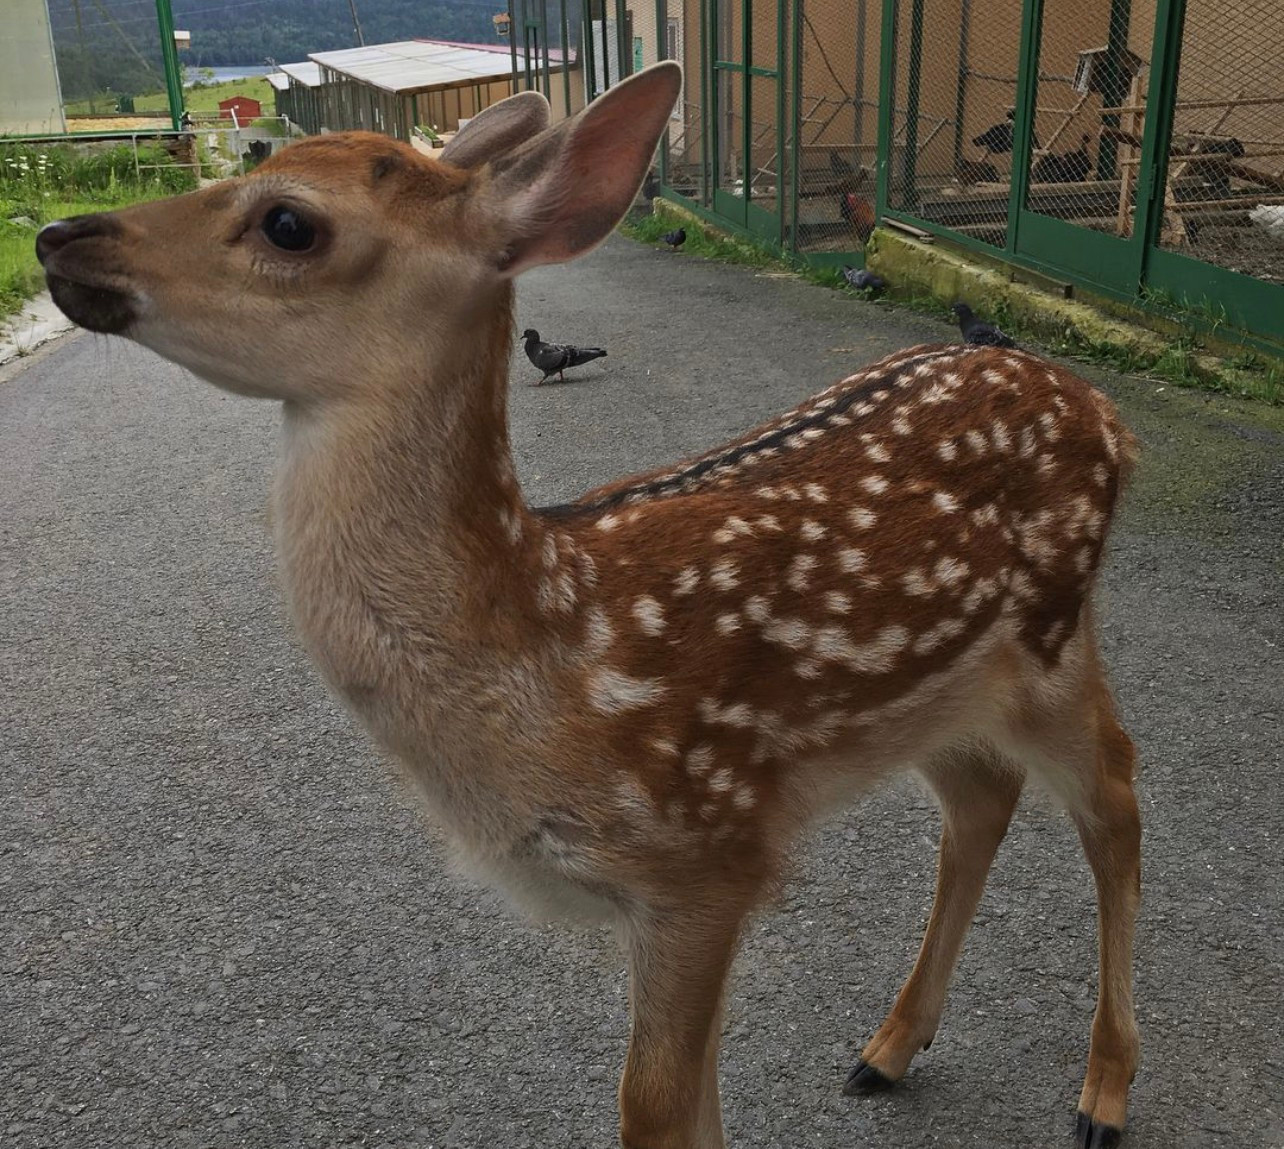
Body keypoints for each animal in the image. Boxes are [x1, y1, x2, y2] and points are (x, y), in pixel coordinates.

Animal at [37, 60, 1145, 1149]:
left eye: (288, 222)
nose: (57, 239)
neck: (555, 649)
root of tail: (1102, 407)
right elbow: (693, 1103)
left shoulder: (706, 855)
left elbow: (651, 1104)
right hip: (938, 690)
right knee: (982, 800)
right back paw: (887, 1048)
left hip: (1053, 637)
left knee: (1117, 798)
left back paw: (1102, 1095)